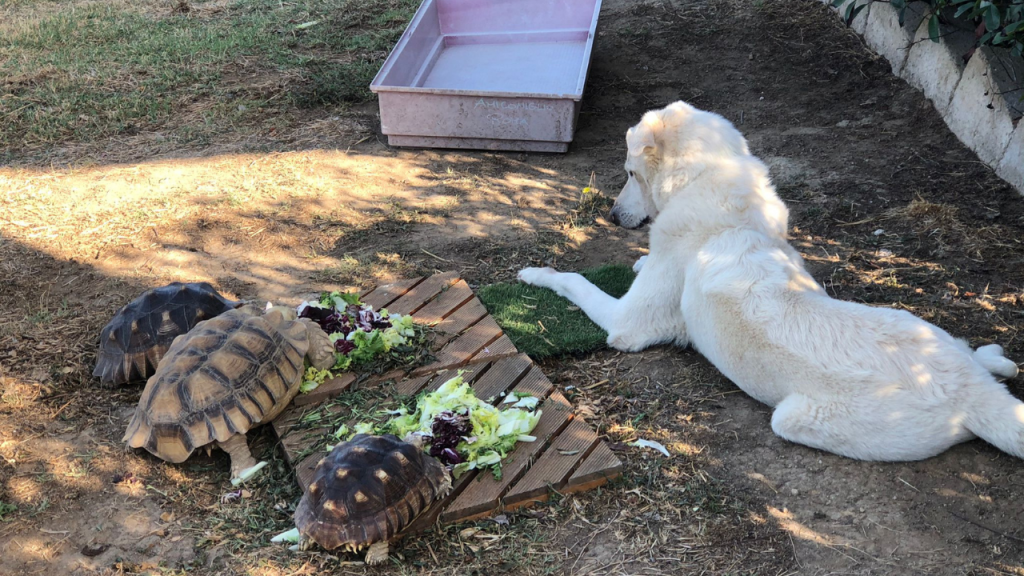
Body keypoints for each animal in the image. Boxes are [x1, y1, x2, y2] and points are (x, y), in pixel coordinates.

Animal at [520, 100, 1024, 459]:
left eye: (629, 173)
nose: (610, 216)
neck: (707, 177)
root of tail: (970, 390)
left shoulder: (628, 323)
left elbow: (574, 281)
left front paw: (535, 273)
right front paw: (639, 262)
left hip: (793, 417)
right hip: (913, 322)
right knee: (980, 356)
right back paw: (996, 359)